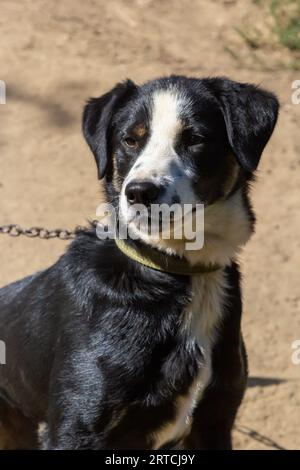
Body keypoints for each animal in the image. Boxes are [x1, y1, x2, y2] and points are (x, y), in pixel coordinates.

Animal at [0, 75, 278, 450]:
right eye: (130, 139)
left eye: (195, 139)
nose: (140, 193)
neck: (177, 268)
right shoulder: (76, 428)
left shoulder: (215, 422)